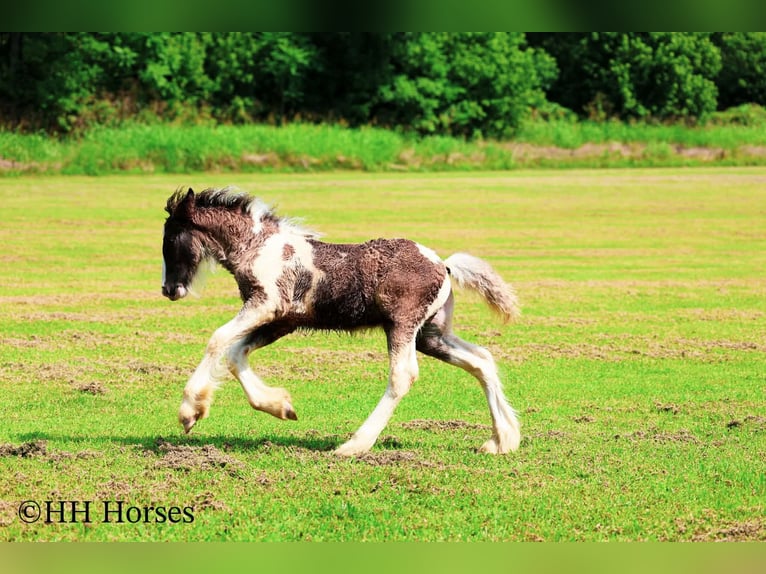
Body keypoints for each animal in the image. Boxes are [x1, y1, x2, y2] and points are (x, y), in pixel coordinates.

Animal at [161, 186, 522, 456]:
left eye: (171, 238)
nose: (168, 289)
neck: (259, 248)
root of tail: (443, 265)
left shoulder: (266, 304)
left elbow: (218, 339)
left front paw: (190, 411)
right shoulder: (282, 321)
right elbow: (236, 355)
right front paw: (281, 406)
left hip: (402, 325)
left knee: (403, 376)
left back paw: (353, 445)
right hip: (431, 334)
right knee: (481, 360)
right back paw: (501, 440)